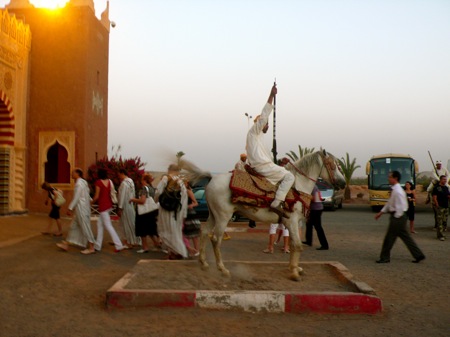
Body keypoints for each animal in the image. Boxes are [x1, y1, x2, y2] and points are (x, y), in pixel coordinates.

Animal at [181, 150, 346, 280]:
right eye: (333, 165)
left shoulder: (291, 223)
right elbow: (298, 246)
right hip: (223, 216)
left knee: (204, 232)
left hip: (213, 214)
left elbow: (293, 245)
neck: (298, 187)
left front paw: (294, 268)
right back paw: (223, 269)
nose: (343, 183)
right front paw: (294, 273)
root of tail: (212, 178)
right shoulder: (292, 221)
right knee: (216, 239)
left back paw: (203, 263)